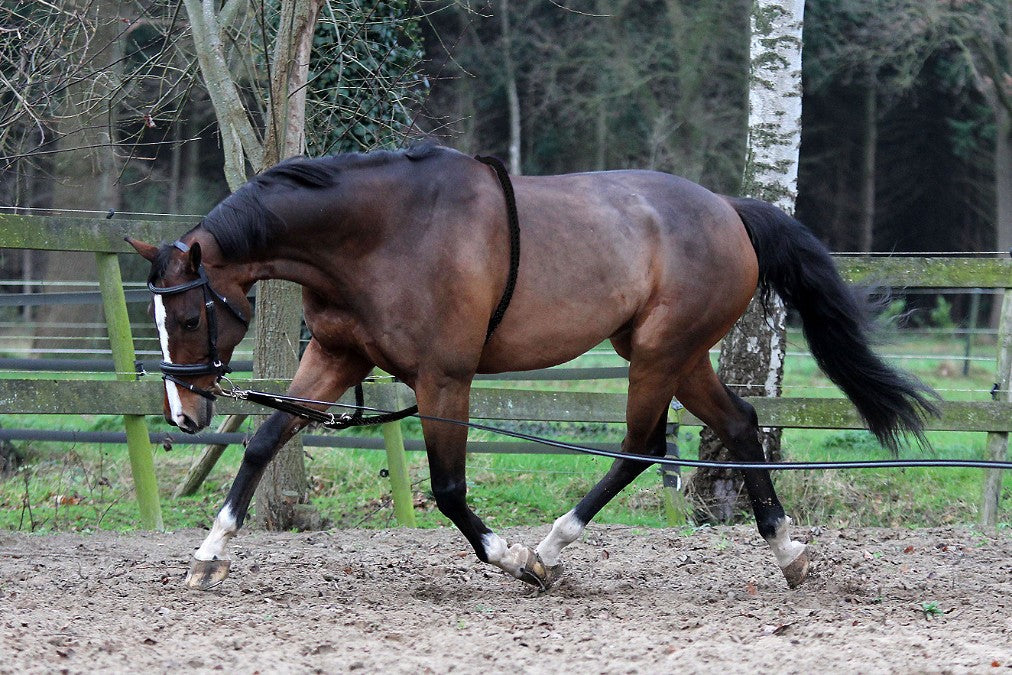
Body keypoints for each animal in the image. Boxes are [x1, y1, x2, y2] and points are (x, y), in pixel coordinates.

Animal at [128, 143, 939, 591]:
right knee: (739, 426)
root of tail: (728, 210)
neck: (380, 234)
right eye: (161, 318)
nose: (184, 414)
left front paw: (510, 557)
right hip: (673, 355)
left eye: (191, 317)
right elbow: (263, 442)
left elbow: (449, 490)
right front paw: (208, 555)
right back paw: (788, 552)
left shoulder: (444, 379)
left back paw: (549, 551)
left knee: (639, 448)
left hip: (659, 354)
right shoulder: (336, 356)